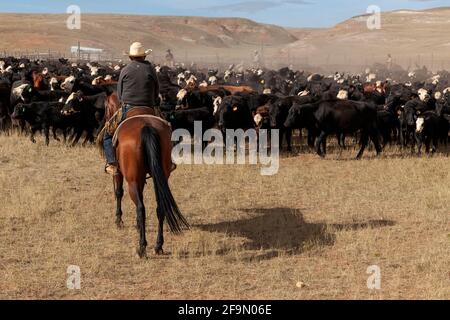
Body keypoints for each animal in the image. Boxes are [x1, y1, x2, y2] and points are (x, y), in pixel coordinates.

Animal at [105, 97, 188, 258]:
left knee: (141, 208)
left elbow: (118, 193)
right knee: (160, 208)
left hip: (131, 180)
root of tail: (146, 127)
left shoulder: (120, 174)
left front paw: (119, 220)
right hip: (159, 176)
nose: (106, 118)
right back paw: (158, 246)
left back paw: (142, 247)